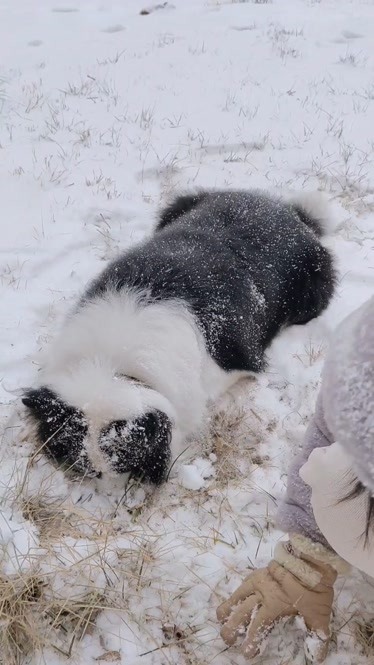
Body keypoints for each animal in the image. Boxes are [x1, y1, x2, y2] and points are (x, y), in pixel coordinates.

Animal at [22, 189, 336, 486]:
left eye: (121, 450)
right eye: (72, 441)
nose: (97, 471)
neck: (112, 362)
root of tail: (292, 213)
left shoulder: (231, 365)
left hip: (313, 293)